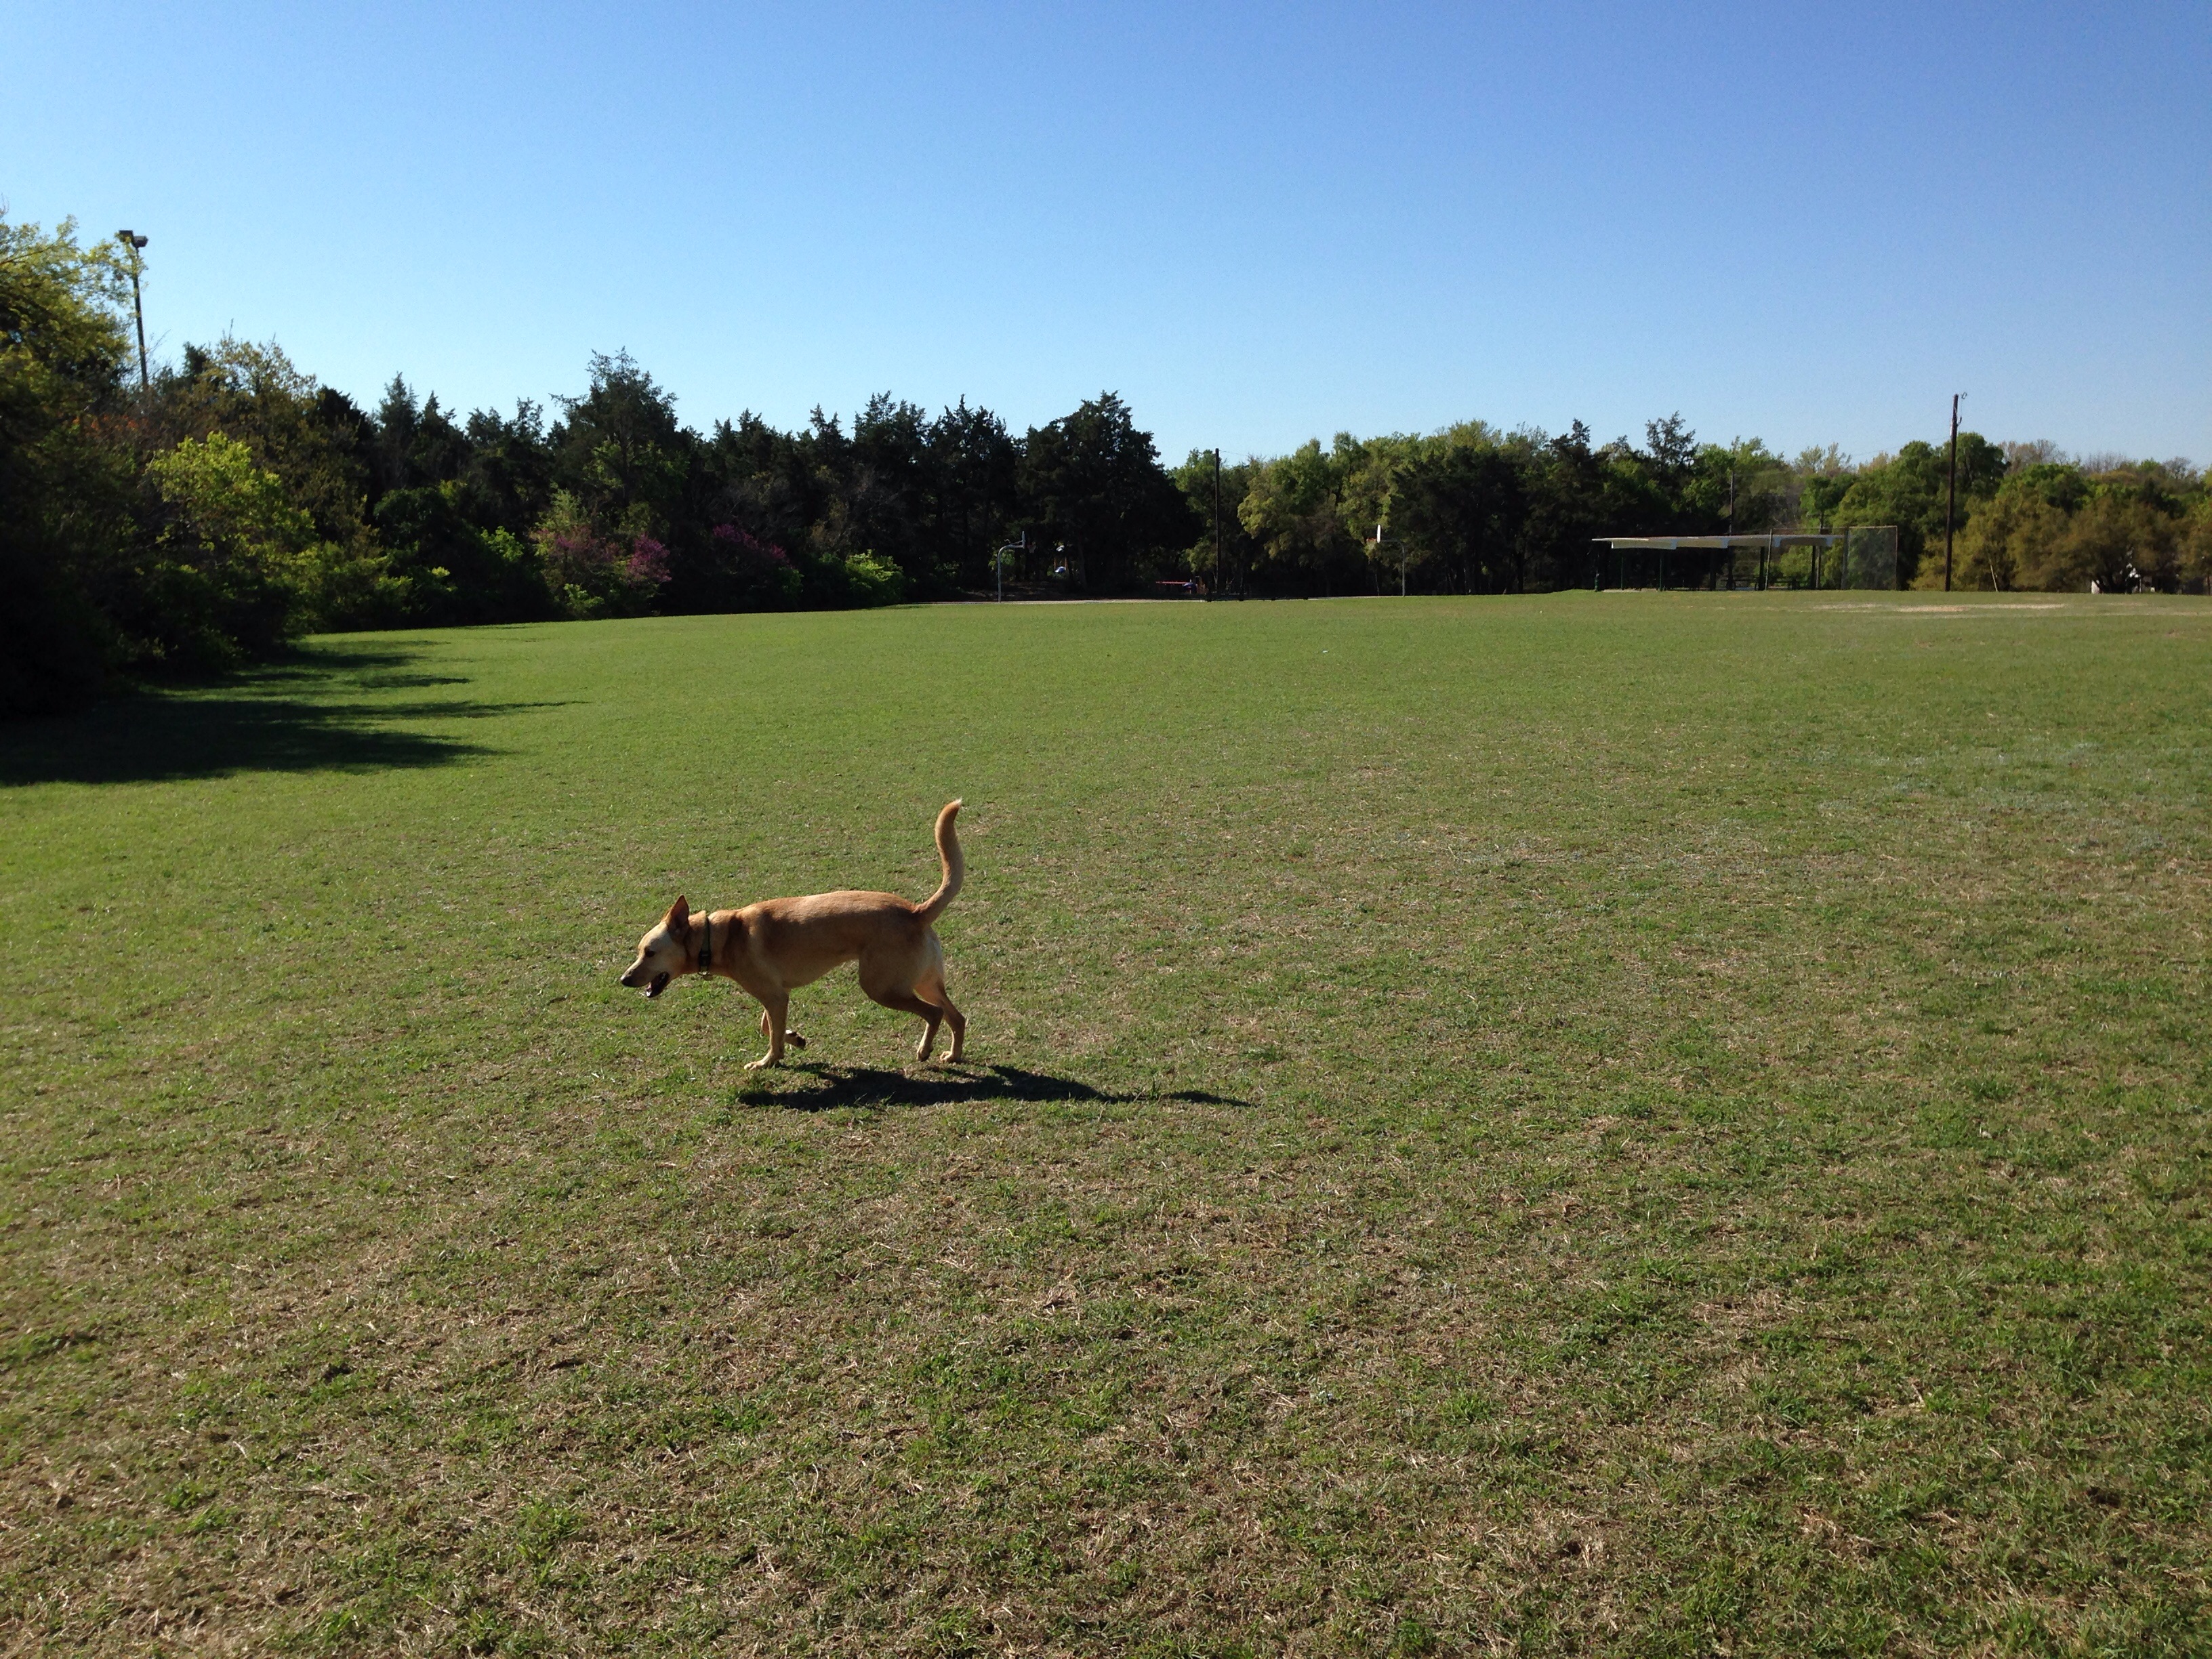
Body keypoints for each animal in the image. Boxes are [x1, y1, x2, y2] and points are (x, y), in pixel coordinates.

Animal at [620, 801, 966, 1068]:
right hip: (923, 982)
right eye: (639, 951)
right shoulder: (777, 994)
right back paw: (952, 1055)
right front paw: (795, 1038)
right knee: (957, 1017)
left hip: (882, 987)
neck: (719, 937)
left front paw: (767, 1062)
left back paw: (924, 1050)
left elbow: (770, 1035)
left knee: (935, 1013)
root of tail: (915, 911)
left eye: (649, 952)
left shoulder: (774, 995)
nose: (624, 980)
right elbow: (768, 1026)